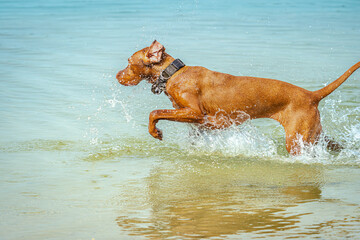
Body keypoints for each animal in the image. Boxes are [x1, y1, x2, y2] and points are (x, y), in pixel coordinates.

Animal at [116, 40, 358, 155]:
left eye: (128, 62)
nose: (117, 75)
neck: (172, 74)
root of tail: (312, 94)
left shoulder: (195, 113)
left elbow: (154, 112)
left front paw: (155, 132)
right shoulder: (199, 123)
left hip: (297, 141)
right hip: (314, 135)